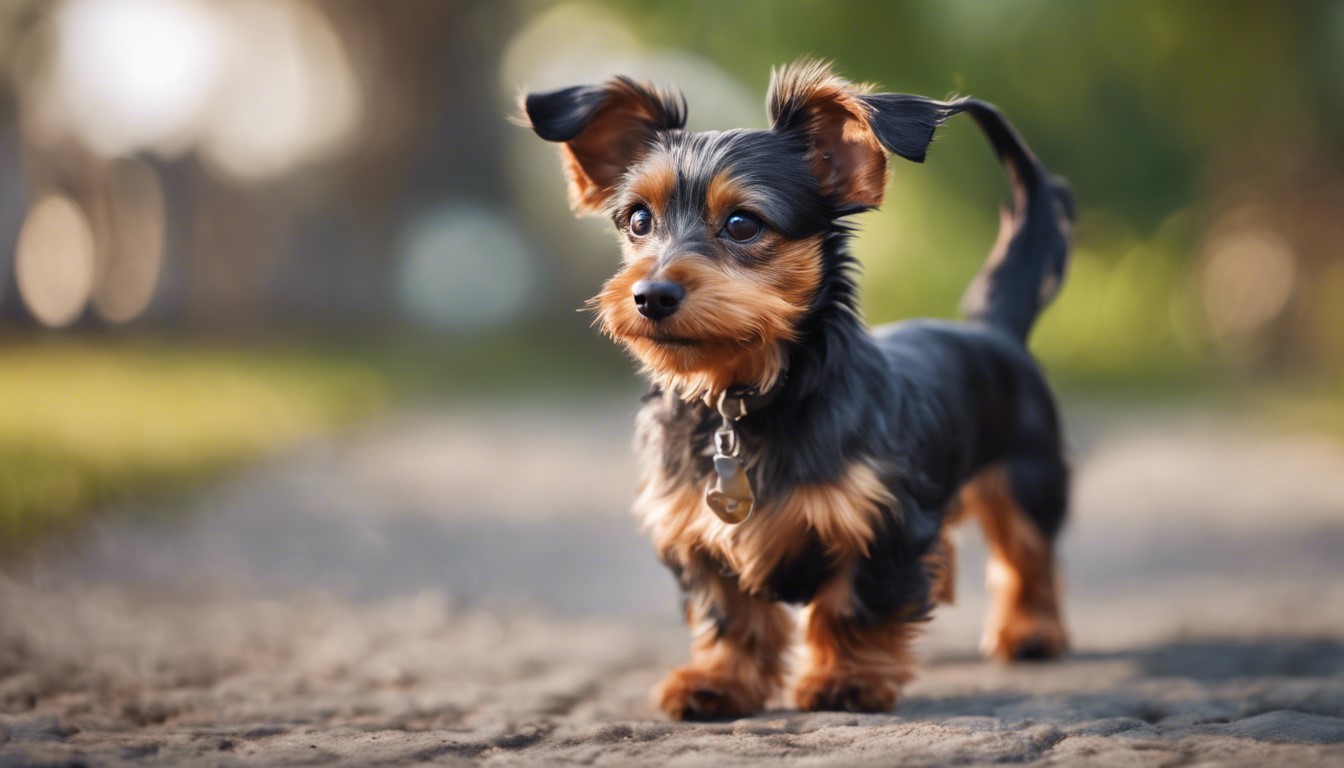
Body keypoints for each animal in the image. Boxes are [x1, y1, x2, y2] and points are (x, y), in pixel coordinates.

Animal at [521, 60, 1069, 720]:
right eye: (638, 220)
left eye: (742, 223)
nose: (649, 296)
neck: (740, 397)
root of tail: (993, 331)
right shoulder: (695, 532)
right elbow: (732, 618)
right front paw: (719, 682)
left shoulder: (881, 521)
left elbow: (853, 607)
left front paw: (845, 681)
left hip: (1027, 481)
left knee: (1027, 558)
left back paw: (1031, 630)